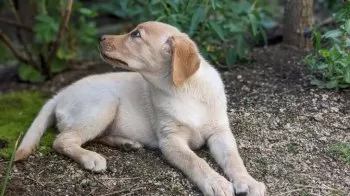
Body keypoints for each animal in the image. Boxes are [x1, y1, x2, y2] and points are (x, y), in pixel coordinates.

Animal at [13, 21, 266, 196]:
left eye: (136, 35)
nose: (100, 37)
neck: (183, 90)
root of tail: (61, 93)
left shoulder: (220, 132)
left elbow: (234, 159)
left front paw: (248, 181)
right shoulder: (170, 140)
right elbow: (196, 161)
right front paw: (215, 182)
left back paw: (126, 143)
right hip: (105, 103)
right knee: (63, 140)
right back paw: (91, 157)